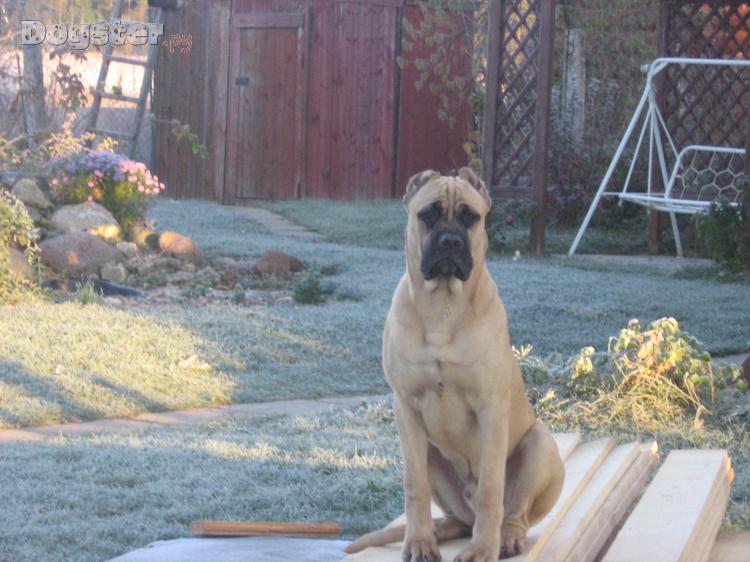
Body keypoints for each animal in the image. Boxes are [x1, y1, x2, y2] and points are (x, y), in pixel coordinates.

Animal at [345, 168, 565, 562]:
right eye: (428, 214)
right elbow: (413, 484)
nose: (449, 242)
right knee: (456, 518)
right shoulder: (406, 407)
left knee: (515, 513)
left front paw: (482, 549)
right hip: (433, 456)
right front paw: (418, 542)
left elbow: (492, 488)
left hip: (540, 444)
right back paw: (438, 531)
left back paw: (506, 538)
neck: (442, 307)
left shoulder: (491, 407)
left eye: (470, 217)